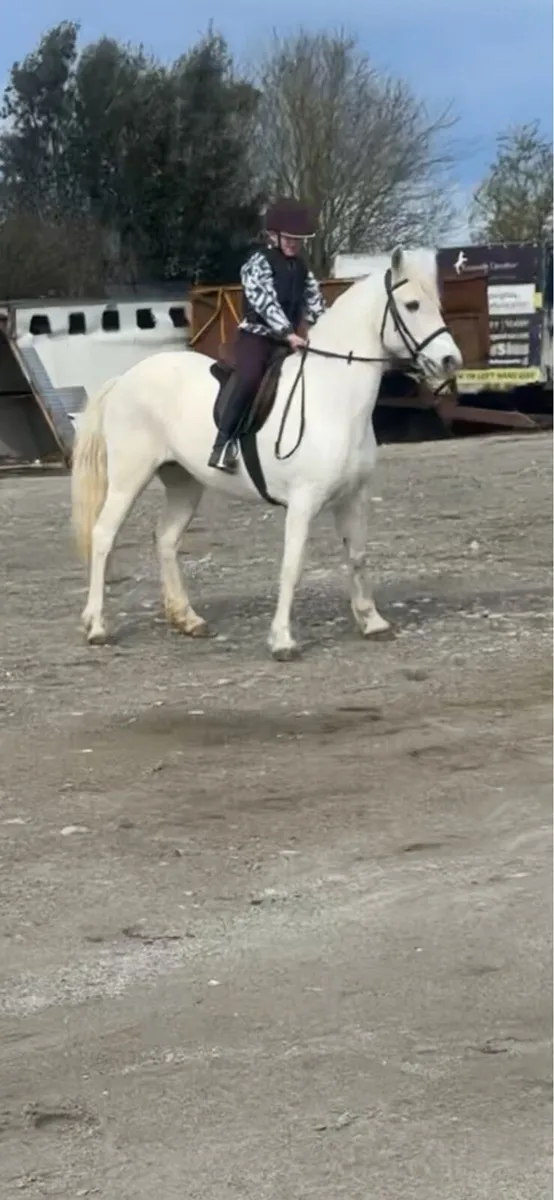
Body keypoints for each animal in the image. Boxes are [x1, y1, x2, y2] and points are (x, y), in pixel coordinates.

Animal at [71, 247, 462, 660]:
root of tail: (124, 379)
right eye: (412, 304)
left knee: (166, 540)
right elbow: (293, 565)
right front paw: (283, 639)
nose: (451, 361)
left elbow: (357, 556)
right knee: (104, 536)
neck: (332, 397)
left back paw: (187, 619)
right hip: (129, 479)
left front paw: (372, 623)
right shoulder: (304, 502)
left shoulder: (353, 497)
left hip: (184, 482)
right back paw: (97, 627)